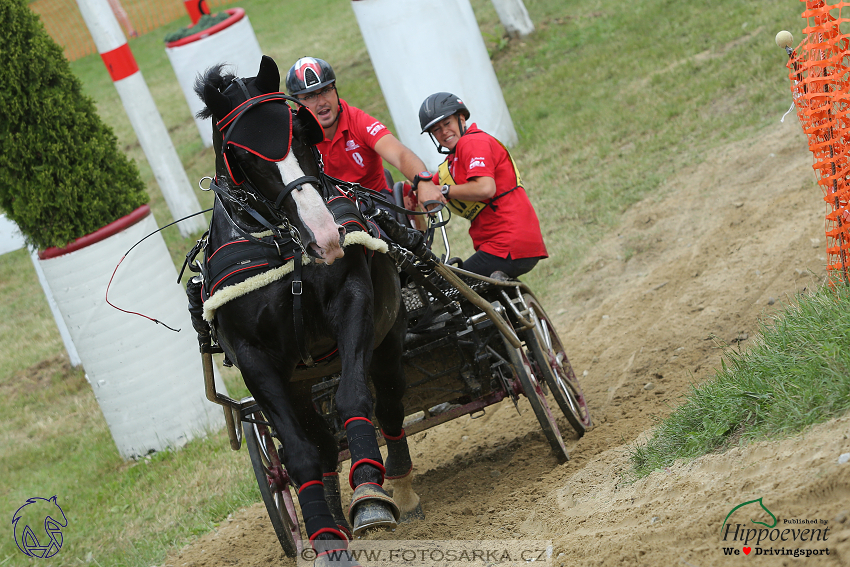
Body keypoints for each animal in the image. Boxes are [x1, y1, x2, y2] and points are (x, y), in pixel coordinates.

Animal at [190, 55, 420, 560]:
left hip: (388, 337)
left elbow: (354, 398)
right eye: (245, 156)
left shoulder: (353, 301)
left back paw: (399, 484)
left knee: (390, 404)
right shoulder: (255, 359)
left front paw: (369, 493)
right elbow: (299, 452)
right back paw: (333, 512)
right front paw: (324, 531)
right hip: (299, 382)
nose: (325, 234)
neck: (283, 247)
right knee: (320, 443)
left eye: (299, 132)